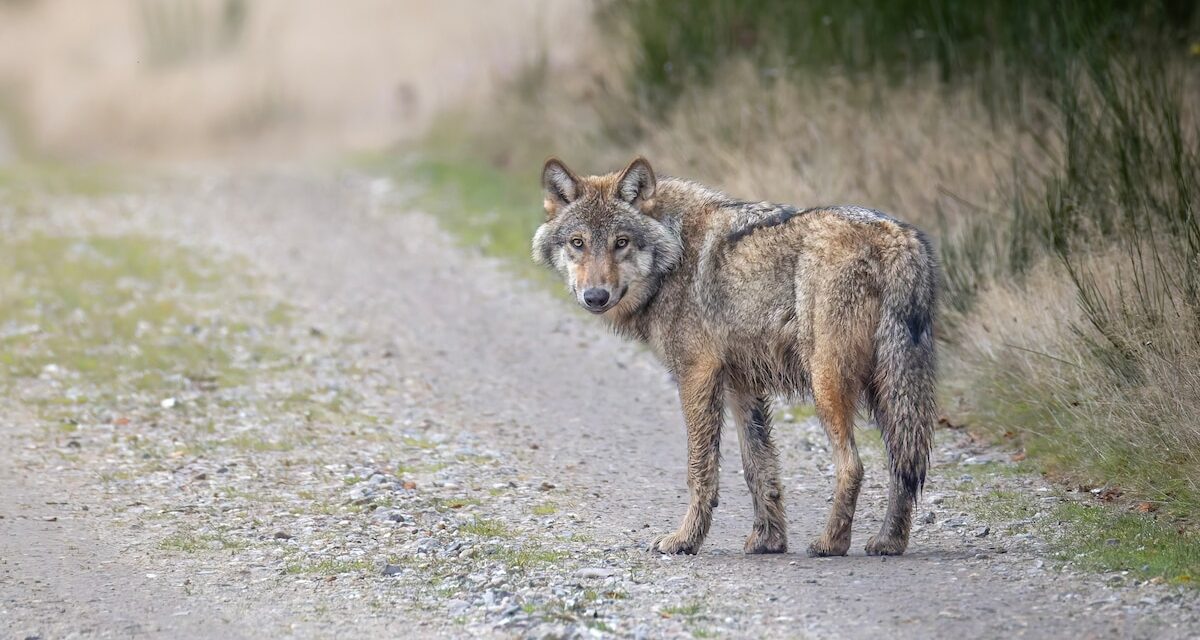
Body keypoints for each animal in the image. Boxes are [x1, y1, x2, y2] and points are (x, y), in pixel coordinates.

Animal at [532, 157, 938, 557]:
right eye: (578, 243)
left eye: (621, 242)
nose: (595, 296)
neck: (675, 253)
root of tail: (896, 236)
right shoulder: (742, 385)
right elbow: (757, 467)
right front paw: (768, 541)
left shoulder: (697, 374)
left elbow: (700, 468)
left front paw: (685, 540)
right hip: (889, 392)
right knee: (903, 466)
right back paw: (889, 542)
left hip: (829, 386)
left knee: (854, 466)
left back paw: (831, 544)